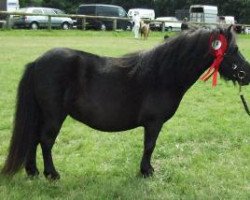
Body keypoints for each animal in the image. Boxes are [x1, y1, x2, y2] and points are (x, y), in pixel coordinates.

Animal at [1, 25, 250, 179]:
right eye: (234, 49)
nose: (246, 74)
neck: (162, 74)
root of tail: (37, 62)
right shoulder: (153, 123)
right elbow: (149, 146)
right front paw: (146, 171)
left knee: (33, 139)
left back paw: (32, 171)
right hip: (54, 115)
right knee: (45, 141)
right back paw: (51, 174)